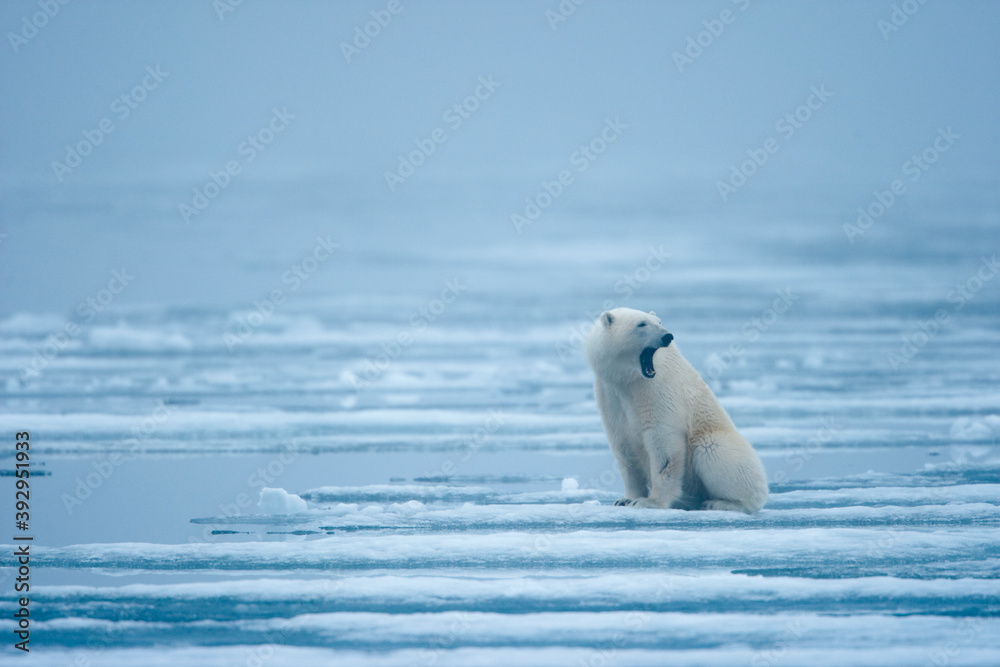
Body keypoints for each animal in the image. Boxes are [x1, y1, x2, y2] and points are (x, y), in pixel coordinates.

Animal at [584, 307, 768, 513]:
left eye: (659, 322)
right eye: (641, 324)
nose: (667, 336)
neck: (630, 379)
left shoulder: (656, 390)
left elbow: (663, 444)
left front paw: (649, 502)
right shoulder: (609, 395)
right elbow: (623, 449)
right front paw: (626, 499)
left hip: (718, 441)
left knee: (712, 450)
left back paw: (719, 503)